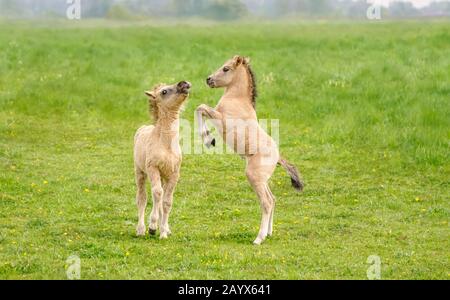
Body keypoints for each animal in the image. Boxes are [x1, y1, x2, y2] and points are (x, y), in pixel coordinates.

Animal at [134, 80, 190, 239]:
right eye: (164, 91)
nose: (184, 84)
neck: (166, 144)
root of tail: (143, 128)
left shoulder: (174, 174)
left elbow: (167, 201)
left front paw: (164, 232)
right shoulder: (153, 168)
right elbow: (157, 193)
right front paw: (152, 227)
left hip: (164, 176)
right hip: (140, 172)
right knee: (142, 198)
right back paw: (141, 229)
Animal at [196, 55, 304, 245]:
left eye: (225, 68)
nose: (209, 80)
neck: (237, 100)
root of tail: (278, 157)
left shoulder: (221, 118)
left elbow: (201, 108)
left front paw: (209, 139)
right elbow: (200, 109)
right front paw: (209, 139)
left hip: (254, 176)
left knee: (267, 202)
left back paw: (259, 238)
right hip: (262, 180)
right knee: (273, 199)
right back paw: (269, 233)